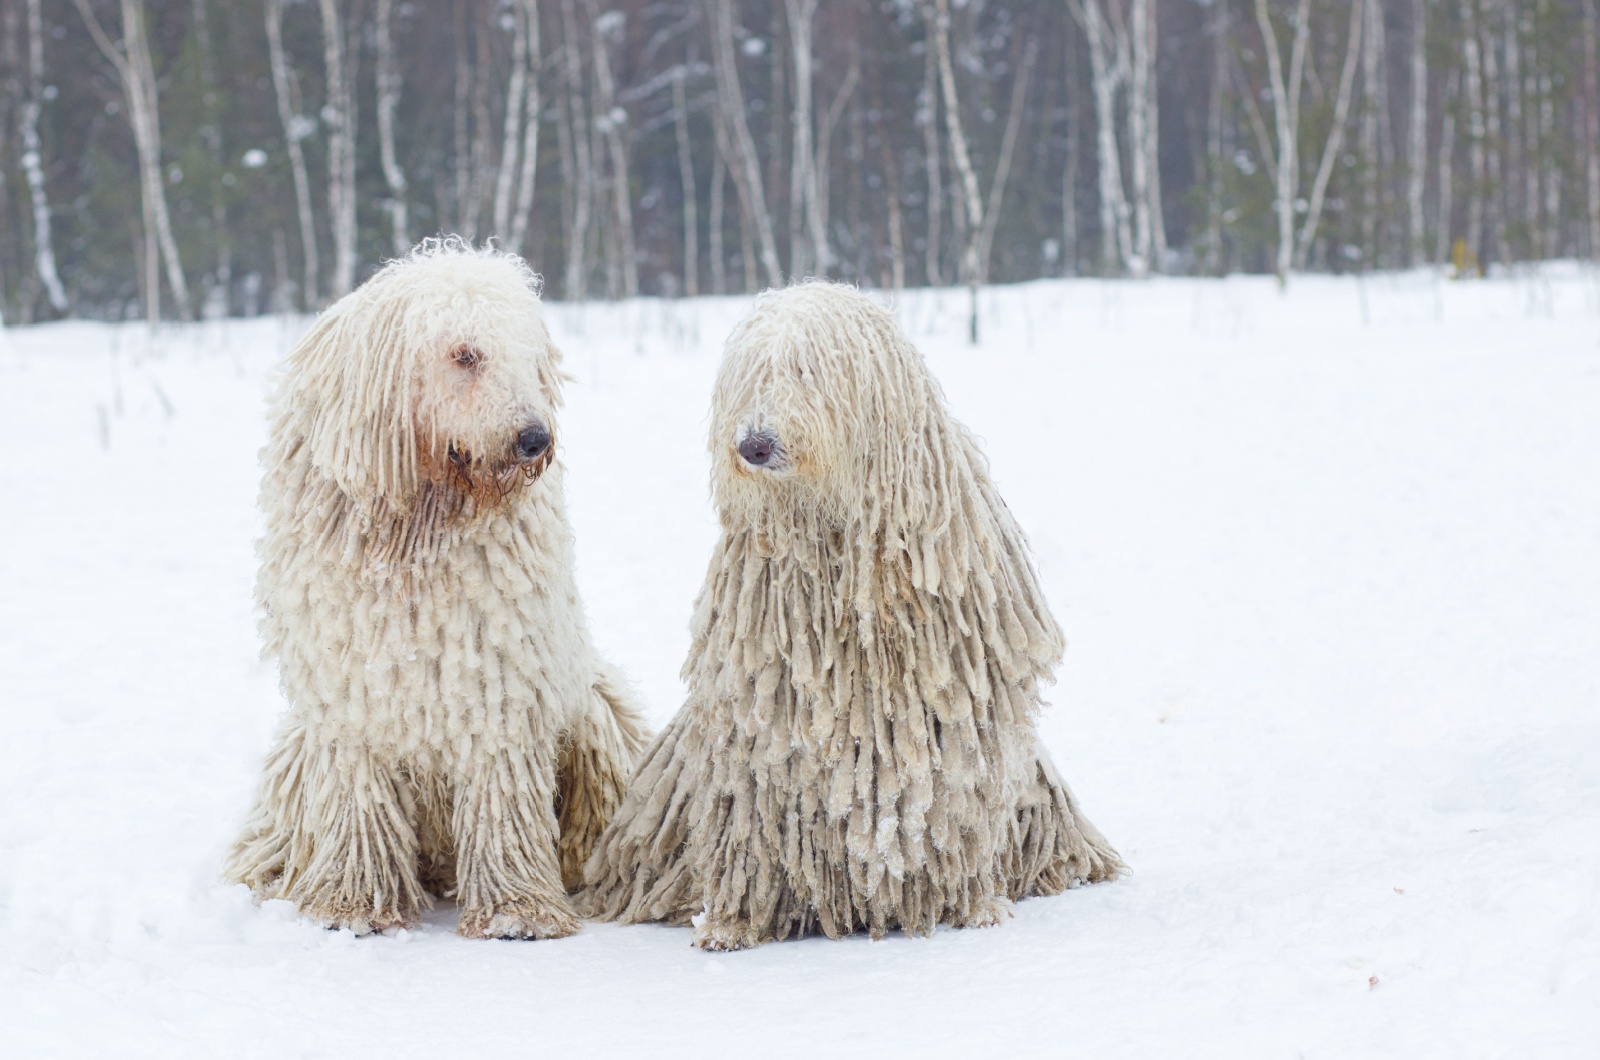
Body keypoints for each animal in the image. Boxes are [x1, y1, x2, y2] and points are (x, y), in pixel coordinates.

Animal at [225, 240, 649, 941]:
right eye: (466, 354)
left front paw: (515, 912)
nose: (535, 437)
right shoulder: (349, 697)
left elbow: (499, 786)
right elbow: (360, 794)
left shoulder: (499, 681)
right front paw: (352, 905)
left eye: (529, 356)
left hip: (595, 713)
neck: (419, 528)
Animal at [582, 281, 1120, 954]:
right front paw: (734, 923)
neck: (838, 543)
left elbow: (953, 801)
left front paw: (970, 905)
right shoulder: (765, 722)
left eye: (806, 370)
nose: (753, 444)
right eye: (751, 375)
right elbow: (756, 818)